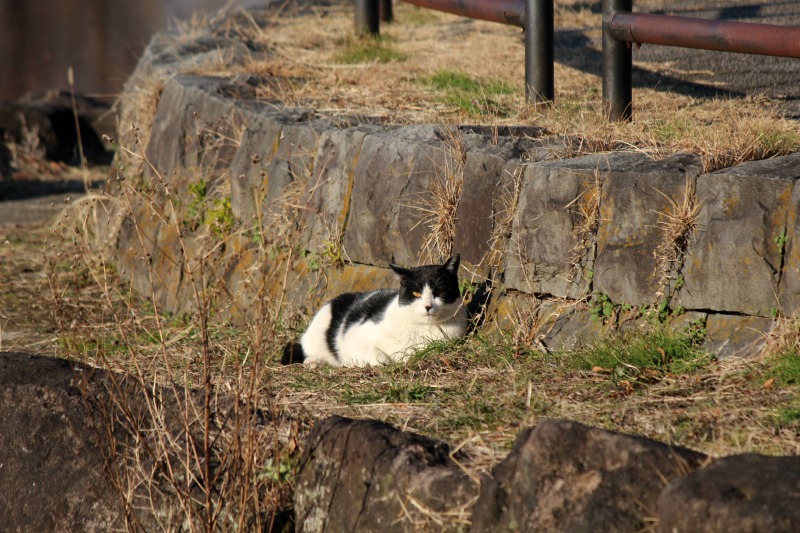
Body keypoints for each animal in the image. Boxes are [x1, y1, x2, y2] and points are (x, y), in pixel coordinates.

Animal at [282, 255, 466, 366]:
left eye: (439, 292)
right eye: (416, 293)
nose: (428, 306)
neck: (421, 330)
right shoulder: (356, 336)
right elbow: (377, 355)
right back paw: (314, 362)